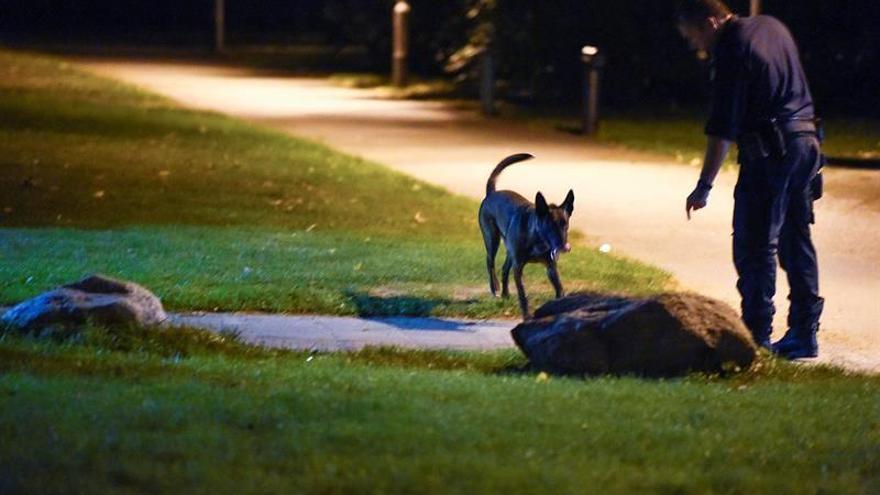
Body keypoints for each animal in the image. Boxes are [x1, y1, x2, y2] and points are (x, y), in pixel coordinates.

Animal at [478, 153, 576, 320]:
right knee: (489, 261)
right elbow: (523, 294)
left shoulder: (551, 267)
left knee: (504, 268)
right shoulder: (518, 268)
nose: (564, 247)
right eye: (549, 225)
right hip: (492, 239)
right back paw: (495, 287)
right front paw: (526, 315)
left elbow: (559, 288)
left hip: (509, 251)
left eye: (565, 224)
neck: (537, 238)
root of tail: (492, 193)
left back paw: (505, 294)